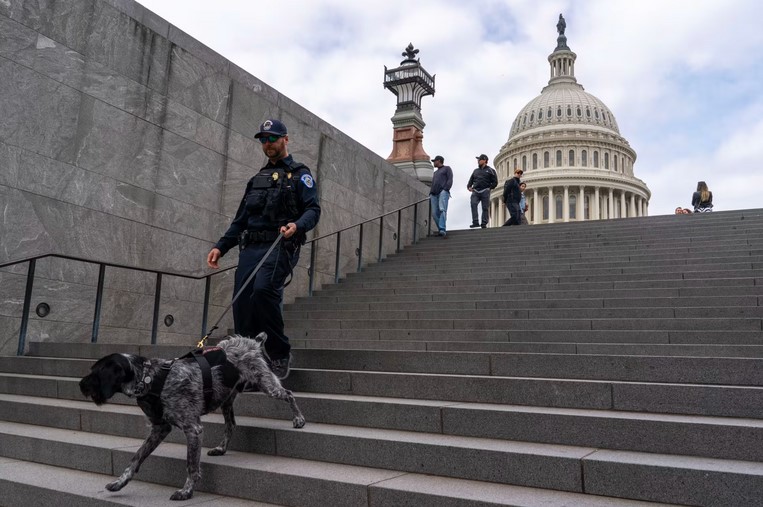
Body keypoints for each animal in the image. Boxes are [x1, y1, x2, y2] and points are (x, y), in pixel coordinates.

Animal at [79, 333, 305, 501]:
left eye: (96, 373)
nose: (80, 385)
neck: (150, 379)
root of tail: (252, 342)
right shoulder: (159, 428)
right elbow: (135, 459)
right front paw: (119, 482)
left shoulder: (193, 429)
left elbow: (191, 465)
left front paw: (186, 491)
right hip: (228, 399)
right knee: (231, 425)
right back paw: (221, 448)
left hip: (266, 385)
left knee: (289, 394)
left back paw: (299, 419)